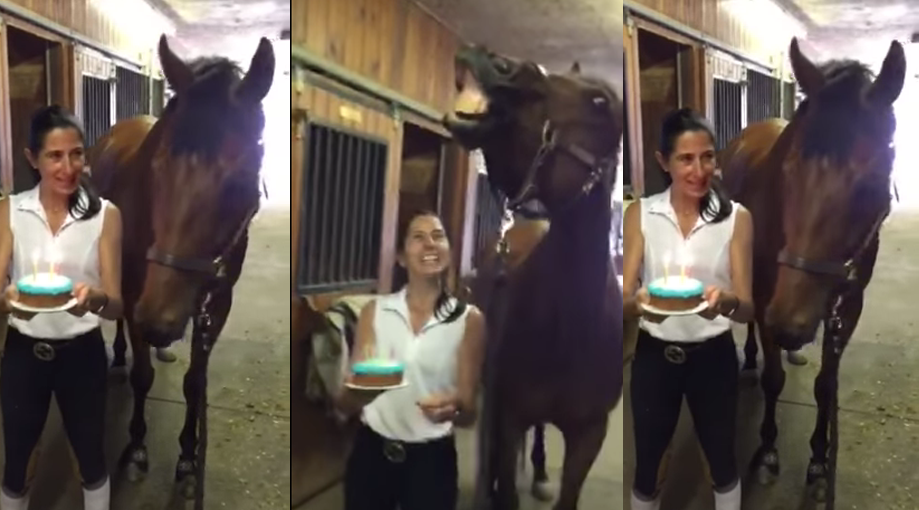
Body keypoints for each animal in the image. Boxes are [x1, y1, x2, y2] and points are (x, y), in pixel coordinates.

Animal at [88, 35, 274, 505]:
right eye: (156, 166)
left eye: (241, 178)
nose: (159, 322)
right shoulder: (135, 290)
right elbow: (142, 376)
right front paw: (136, 449)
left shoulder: (217, 301)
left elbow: (195, 382)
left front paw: (189, 458)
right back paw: (122, 354)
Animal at [443, 45, 623, 510]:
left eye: (600, 103)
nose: (497, 63)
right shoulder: (509, 417)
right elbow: (506, 483)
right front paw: (494, 490)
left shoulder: (590, 433)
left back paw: (541, 473)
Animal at [719, 38, 904, 506]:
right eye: (787, 169)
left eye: (873, 180)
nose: (790, 325)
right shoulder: (766, 293)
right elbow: (773, 379)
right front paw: (767, 451)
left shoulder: (848, 304)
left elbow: (826, 385)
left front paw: (820, 461)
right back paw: (753, 357)